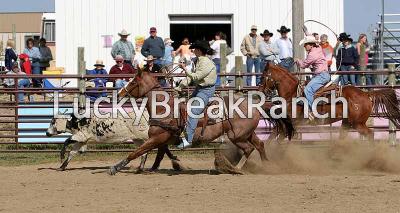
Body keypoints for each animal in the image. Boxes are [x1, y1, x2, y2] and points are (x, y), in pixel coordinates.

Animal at [108, 70, 296, 176]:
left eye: (133, 82)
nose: (119, 93)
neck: (163, 109)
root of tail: (255, 104)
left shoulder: (156, 138)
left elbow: (136, 152)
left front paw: (115, 168)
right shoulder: (163, 140)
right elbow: (162, 154)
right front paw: (168, 165)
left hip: (236, 136)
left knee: (249, 149)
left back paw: (235, 168)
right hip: (248, 133)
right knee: (259, 145)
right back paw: (268, 166)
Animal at [260, 62, 400, 140]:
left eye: (263, 76)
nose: (261, 89)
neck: (292, 94)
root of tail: (365, 94)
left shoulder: (290, 124)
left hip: (358, 124)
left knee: (370, 135)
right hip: (346, 123)